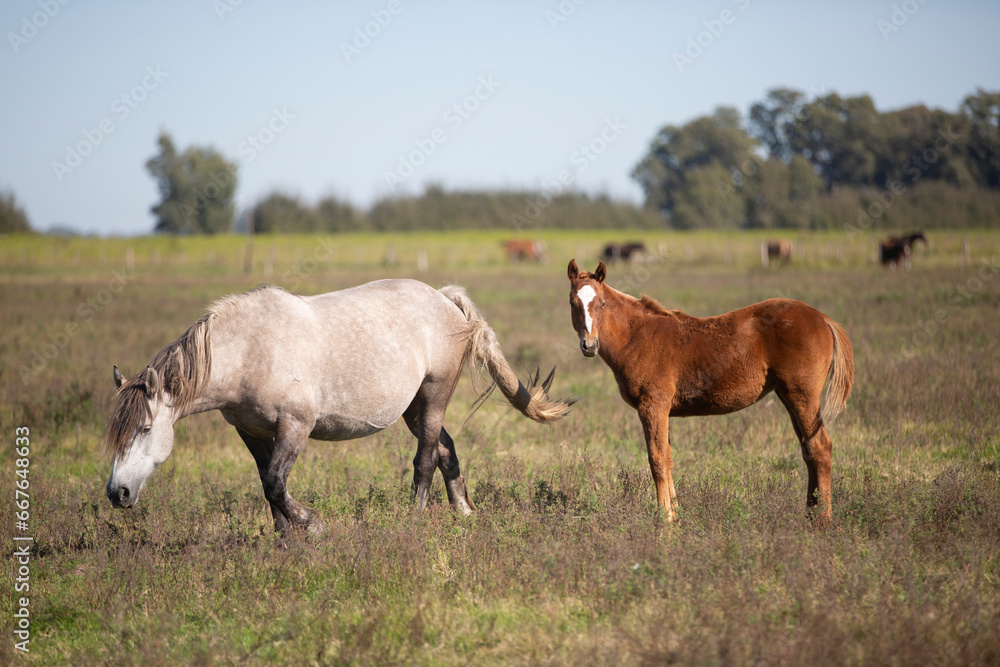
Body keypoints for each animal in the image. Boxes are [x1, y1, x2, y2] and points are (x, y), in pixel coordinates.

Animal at [105, 281, 572, 537]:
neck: (250, 350)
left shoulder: (295, 426)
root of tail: (443, 298)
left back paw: (414, 521)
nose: (116, 493)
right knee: (445, 450)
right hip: (413, 407)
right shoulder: (252, 433)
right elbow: (267, 486)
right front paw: (284, 541)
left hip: (435, 396)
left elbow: (276, 484)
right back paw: (464, 513)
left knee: (424, 460)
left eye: (145, 429)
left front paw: (313, 526)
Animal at [567, 260, 853, 523]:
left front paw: (664, 523)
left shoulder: (653, 405)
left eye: (602, 303)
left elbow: (657, 460)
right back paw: (810, 515)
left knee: (820, 447)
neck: (636, 336)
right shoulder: (662, 411)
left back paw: (822, 521)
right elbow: (668, 458)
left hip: (802, 394)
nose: (589, 345)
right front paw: (676, 519)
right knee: (807, 449)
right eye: (572, 303)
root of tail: (823, 318)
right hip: (787, 395)